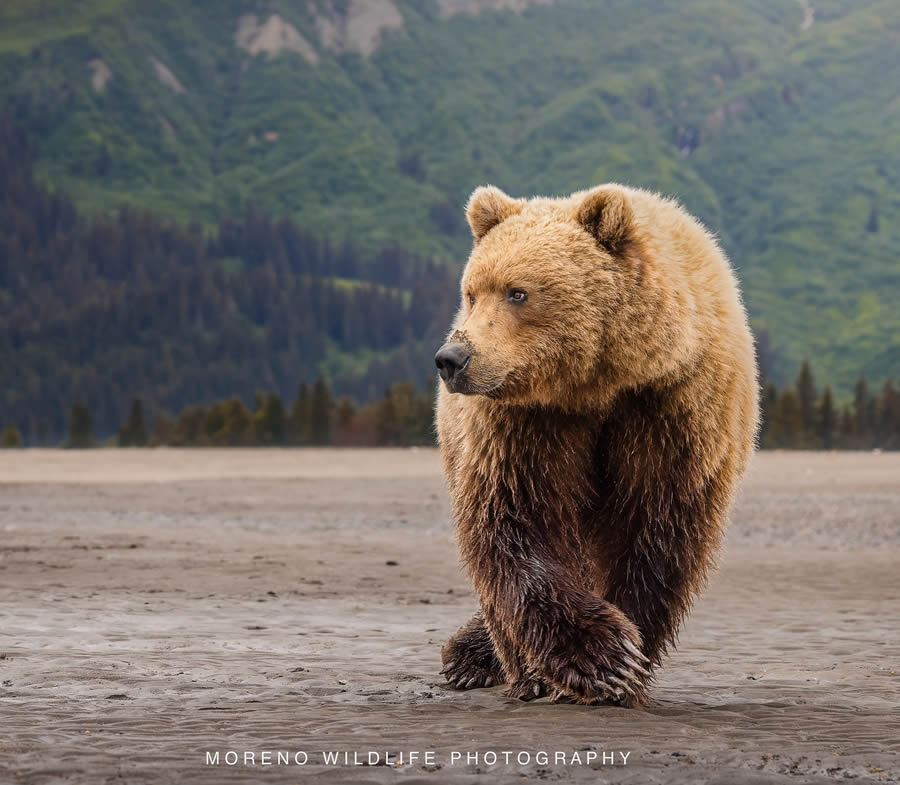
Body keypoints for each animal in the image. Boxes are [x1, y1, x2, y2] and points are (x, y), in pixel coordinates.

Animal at [432, 182, 756, 704]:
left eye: (518, 292)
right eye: (471, 292)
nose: (453, 358)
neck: (597, 382)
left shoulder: (670, 410)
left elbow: (657, 530)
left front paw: (627, 664)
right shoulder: (526, 425)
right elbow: (514, 521)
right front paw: (595, 659)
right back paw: (486, 662)